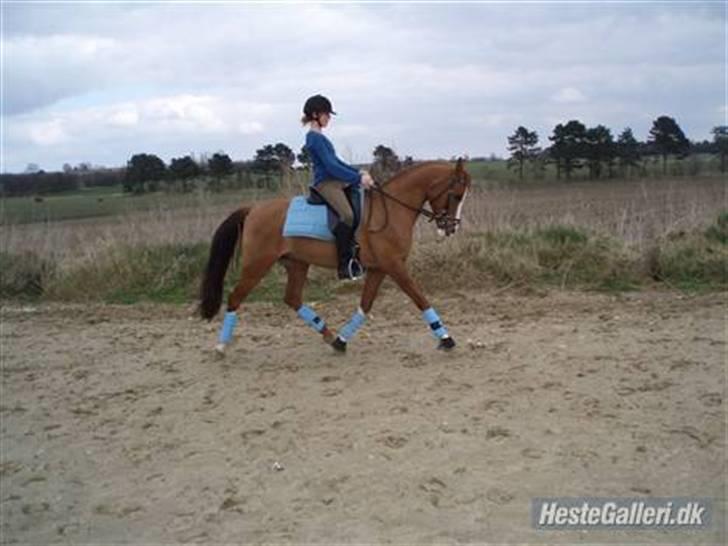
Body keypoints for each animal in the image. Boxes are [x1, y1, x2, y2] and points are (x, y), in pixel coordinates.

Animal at [199, 157, 472, 352]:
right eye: (456, 195)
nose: (452, 228)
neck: (392, 209)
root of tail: (253, 209)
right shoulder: (394, 265)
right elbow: (420, 298)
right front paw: (446, 338)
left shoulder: (379, 268)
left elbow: (366, 305)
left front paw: (342, 340)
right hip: (257, 264)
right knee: (235, 297)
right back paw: (221, 346)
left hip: (297, 263)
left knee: (292, 298)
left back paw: (329, 336)